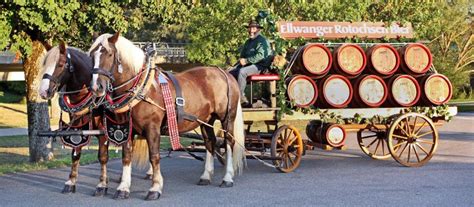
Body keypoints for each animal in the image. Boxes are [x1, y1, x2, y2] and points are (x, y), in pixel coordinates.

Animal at [38, 41, 154, 196]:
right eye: (45, 63)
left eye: (61, 64)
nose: (43, 91)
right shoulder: (78, 127)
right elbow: (75, 154)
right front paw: (71, 182)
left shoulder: (102, 130)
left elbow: (103, 156)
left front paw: (102, 185)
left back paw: (150, 173)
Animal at [87, 32, 246, 201]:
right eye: (92, 55)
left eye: (109, 54)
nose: (96, 87)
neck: (143, 88)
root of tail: (224, 73)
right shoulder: (127, 129)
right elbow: (126, 156)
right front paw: (123, 187)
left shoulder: (152, 128)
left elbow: (154, 156)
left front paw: (155, 188)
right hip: (206, 120)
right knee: (210, 143)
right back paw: (206, 176)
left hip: (227, 118)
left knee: (229, 143)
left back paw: (227, 178)